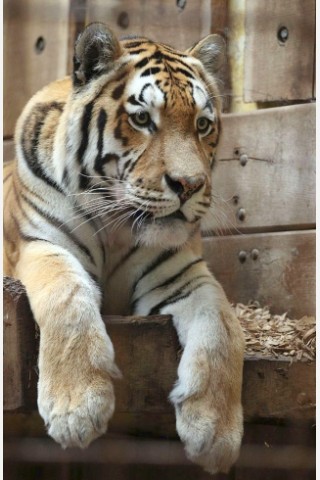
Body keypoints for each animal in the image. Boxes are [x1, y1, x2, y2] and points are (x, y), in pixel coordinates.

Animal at [2, 21, 244, 472]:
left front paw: (214, 432)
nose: (189, 186)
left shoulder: (181, 275)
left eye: (203, 124)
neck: (116, 226)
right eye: (142, 118)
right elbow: (67, 298)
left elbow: (223, 329)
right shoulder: (40, 245)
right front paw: (77, 409)